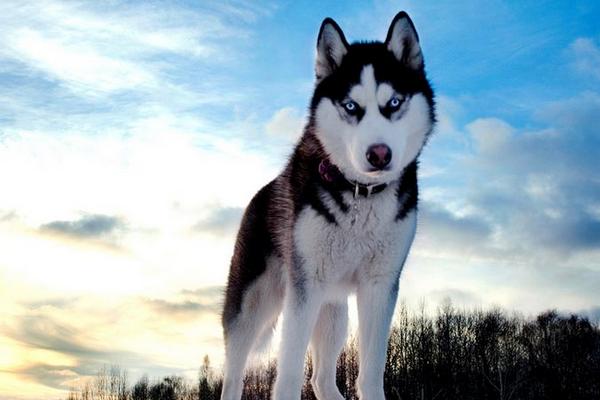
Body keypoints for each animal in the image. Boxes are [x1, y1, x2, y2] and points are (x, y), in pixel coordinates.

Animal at [218, 12, 434, 400]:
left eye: (394, 103)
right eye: (351, 106)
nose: (379, 154)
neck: (360, 194)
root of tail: (260, 193)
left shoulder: (380, 286)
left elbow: (371, 372)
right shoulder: (305, 289)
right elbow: (288, 374)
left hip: (333, 312)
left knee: (320, 377)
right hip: (253, 305)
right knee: (233, 374)